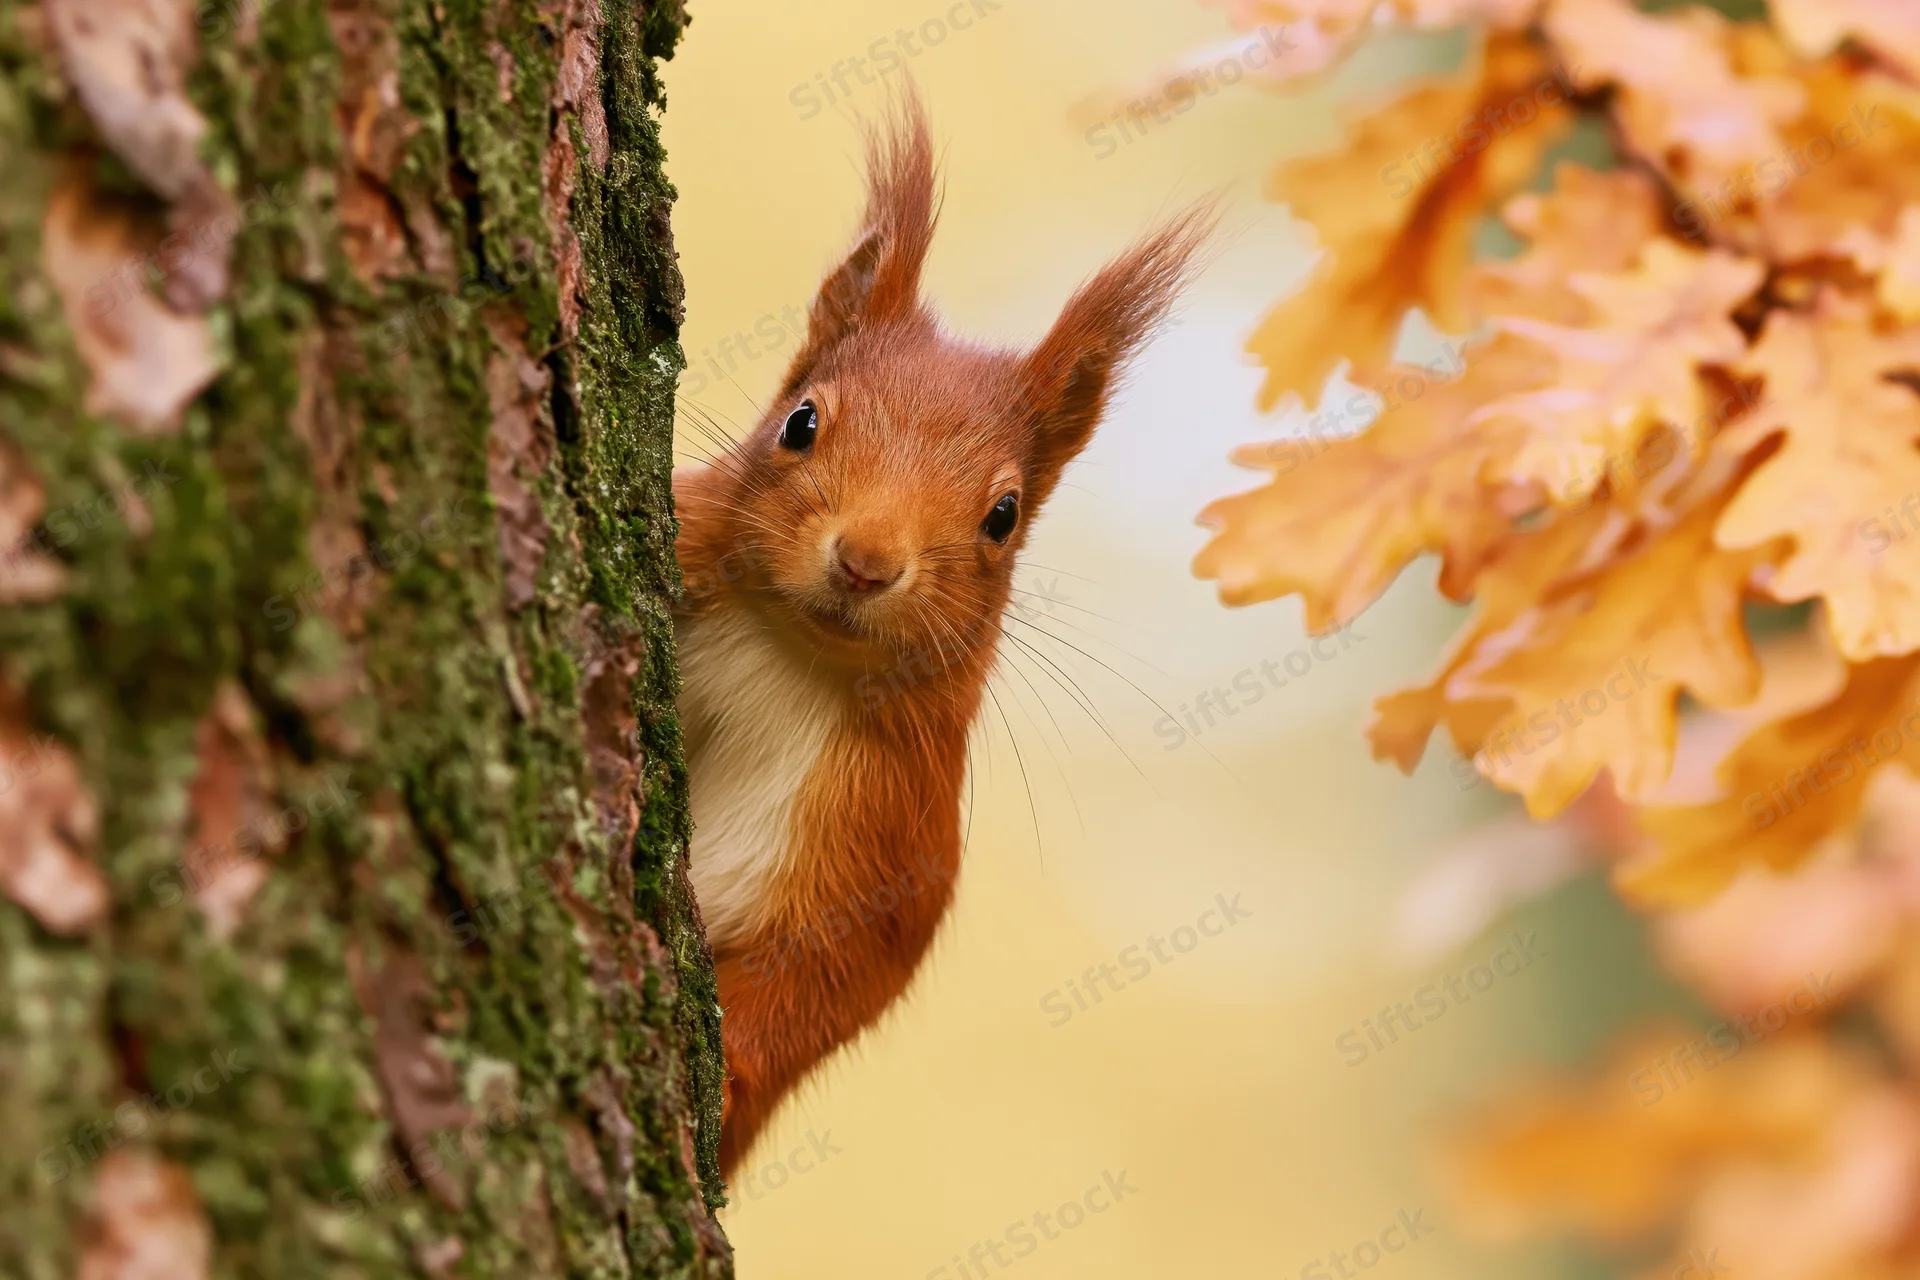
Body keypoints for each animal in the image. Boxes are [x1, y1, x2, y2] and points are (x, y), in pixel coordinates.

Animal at [671, 86, 1212, 1177]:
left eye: (1004, 515)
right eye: (800, 422)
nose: (867, 560)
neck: (786, 654)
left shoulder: (890, 837)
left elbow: (826, 979)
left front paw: (731, 1068)